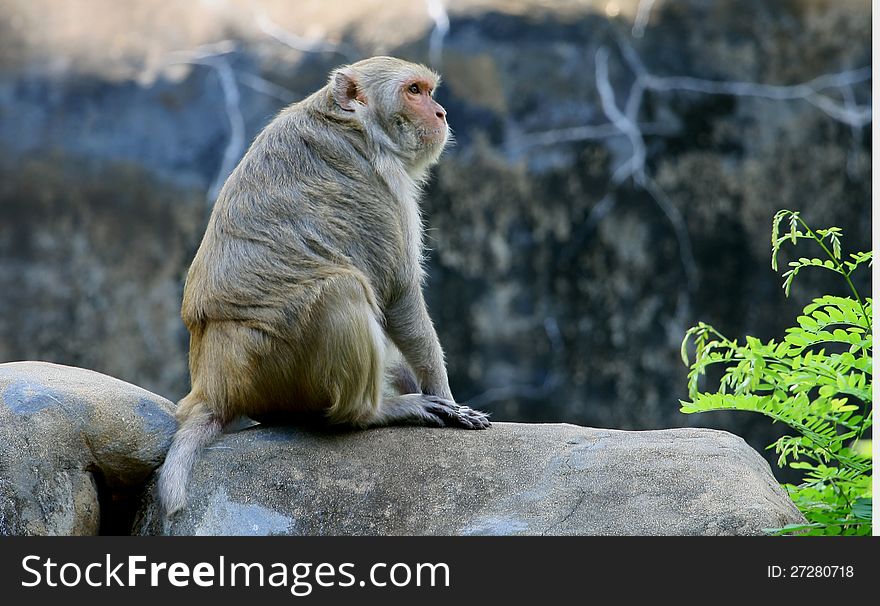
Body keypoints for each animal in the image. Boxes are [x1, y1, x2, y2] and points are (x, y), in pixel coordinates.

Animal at [158, 55, 488, 516]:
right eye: (414, 91)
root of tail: (214, 387)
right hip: (273, 370)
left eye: (428, 90)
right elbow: (398, 293)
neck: (353, 123)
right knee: (343, 289)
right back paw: (371, 413)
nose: (440, 113)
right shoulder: (381, 184)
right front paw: (447, 397)